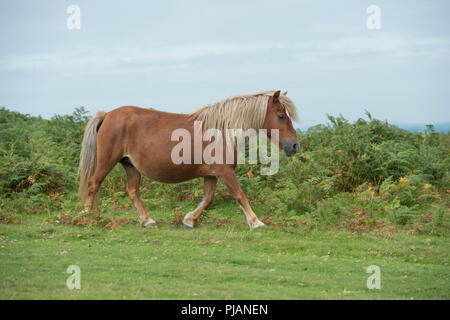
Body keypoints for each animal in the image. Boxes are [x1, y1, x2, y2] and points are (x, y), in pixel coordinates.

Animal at [78, 90, 298, 229]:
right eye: (280, 116)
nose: (294, 145)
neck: (222, 131)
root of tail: (107, 115)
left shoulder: (211, 175)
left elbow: (207, 199)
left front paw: (189, 220)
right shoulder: (225, 172)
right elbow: (240, 195)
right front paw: (255, 221)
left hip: (130, 165)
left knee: (132, 191)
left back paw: (147, 220)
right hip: (107, 161)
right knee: (93, 183)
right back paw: (86, 216)